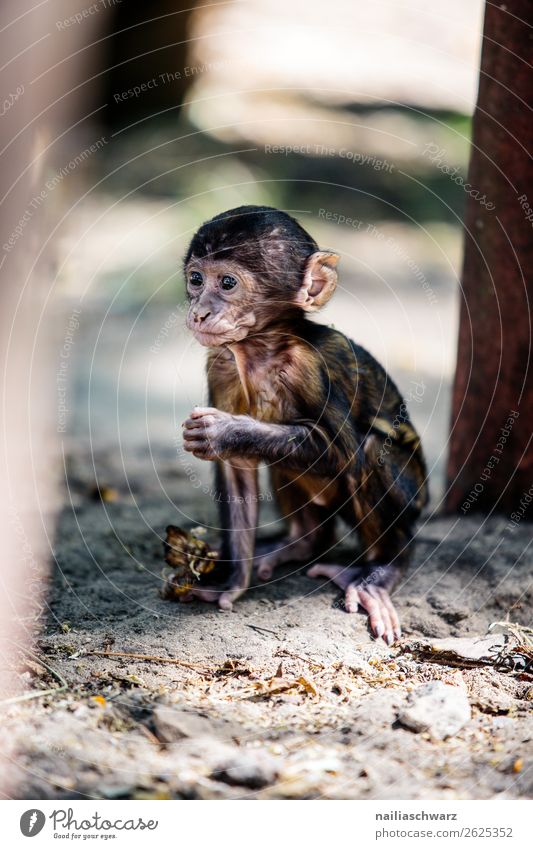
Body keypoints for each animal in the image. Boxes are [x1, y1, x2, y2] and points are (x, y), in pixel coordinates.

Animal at [183, 205, 428, 644]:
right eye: (196, 279)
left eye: (227, 283)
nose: (199, 311)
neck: (262, 349)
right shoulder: (221, 365)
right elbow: (239, 471)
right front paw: (234, 581)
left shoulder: (309, 368)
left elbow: (343, 452)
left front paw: (224, 432)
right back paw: (298, 545)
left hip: (414, 499)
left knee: (370, 450)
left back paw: (381, 572)